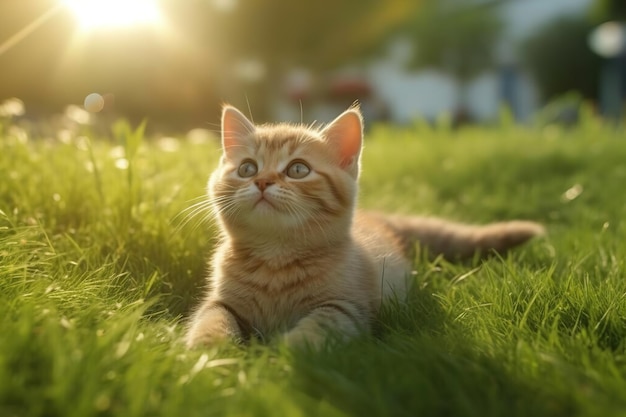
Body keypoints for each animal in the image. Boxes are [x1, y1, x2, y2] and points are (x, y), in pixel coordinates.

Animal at [184, 105, 540, 348]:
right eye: (247, 168)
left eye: (298, 169)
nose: (261, 181)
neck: (275, 260)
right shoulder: (221, 301)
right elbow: (211, 319)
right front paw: (209, 352)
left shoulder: (346, 307)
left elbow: (315, 329)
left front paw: (279, 354)